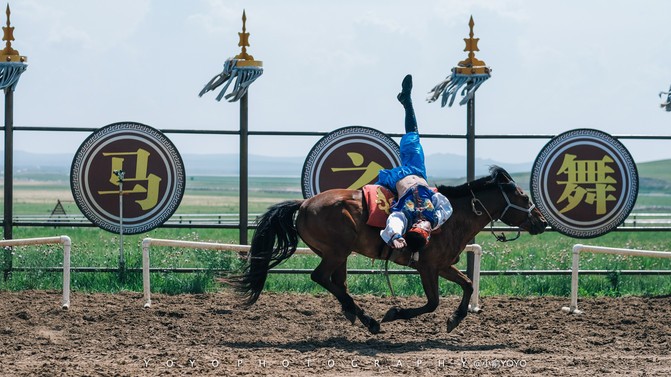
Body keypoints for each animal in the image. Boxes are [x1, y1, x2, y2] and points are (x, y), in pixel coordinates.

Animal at [231, 164, 544, 332]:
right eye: (523, 195)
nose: (540, 221)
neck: (453, 215)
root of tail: (305, 203)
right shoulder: (427, 266)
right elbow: (433, 302)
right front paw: (395, 313)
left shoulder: (443, 265)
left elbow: (467, 284)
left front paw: (455, 319)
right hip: (337, 252)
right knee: (321, 277)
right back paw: (367, 318)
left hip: (339, 255)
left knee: (338, 283)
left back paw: (359, 315)